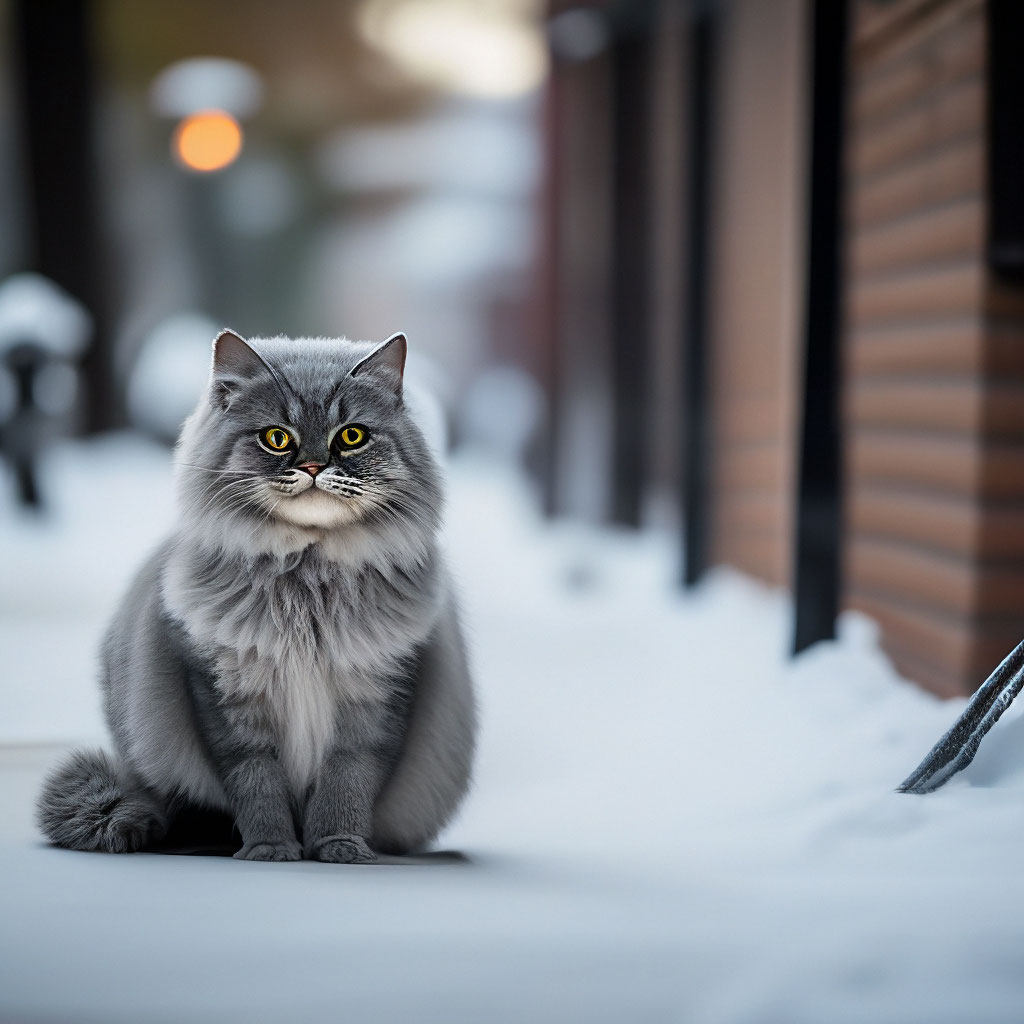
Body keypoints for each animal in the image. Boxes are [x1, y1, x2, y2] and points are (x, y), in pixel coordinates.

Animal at [36, 331, 475, 860]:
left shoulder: (375, 702)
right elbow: (257, 786)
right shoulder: (226, 700)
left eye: (352, 436)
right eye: (276, 437)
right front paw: (271, 849)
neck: (307, 581)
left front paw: (339, 847)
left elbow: (346, 785)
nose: (313, 467)